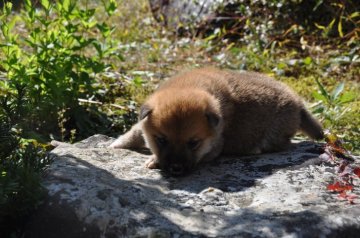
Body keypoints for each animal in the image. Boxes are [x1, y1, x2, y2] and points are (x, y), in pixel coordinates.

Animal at [109, 67, 324, 175]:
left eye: (193, 143)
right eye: (161, 140)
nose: (176, 169)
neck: (187, 86)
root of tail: (298, 103)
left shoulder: (214, 147)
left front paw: (153, 159)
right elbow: (134, 131)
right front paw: (116, 144)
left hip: (274, 134)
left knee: (282, 144)